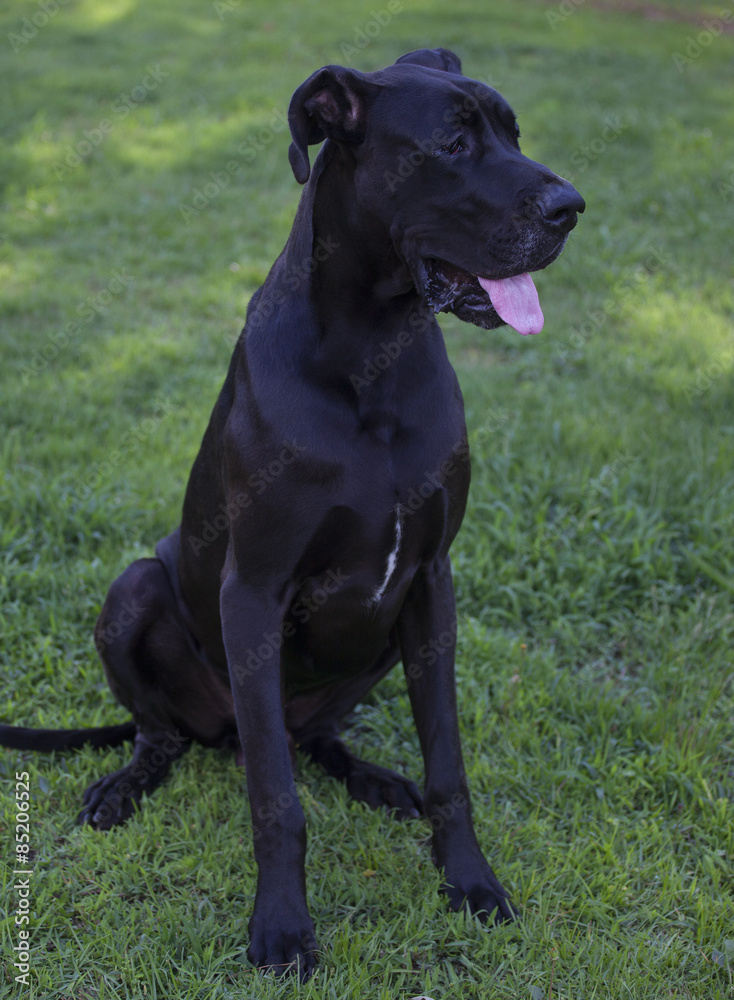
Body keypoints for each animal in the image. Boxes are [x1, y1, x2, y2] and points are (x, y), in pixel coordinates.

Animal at [1, 47, 588, 976]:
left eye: (513, 133)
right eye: (453, 143)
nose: (571, 208)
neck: (372, 351)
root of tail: (220, 732)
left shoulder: (431, 582)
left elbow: (448, 763)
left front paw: (469, 881)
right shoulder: (254, 591)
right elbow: (277, 801)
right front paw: (281, 927)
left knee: (314, 738)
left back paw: (376, 779)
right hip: (136, 594)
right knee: (167, 735)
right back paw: (126, 786)